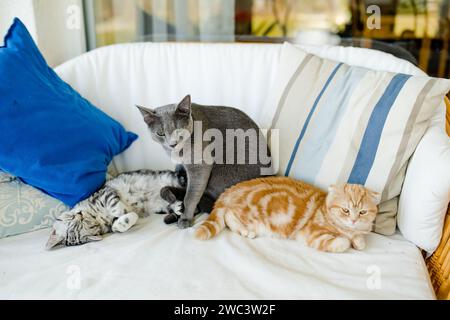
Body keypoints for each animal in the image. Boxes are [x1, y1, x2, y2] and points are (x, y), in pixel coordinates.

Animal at [44, 170, 185, 250]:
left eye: (72, 220)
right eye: (89, 226)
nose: (79, 214)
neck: (96, 216)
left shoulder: (105, 193)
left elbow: (116, 206)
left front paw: (122, 213)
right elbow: (123, 222)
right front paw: (123, 222)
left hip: (171, 179)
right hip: (161, 206)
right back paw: (177, 207)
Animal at [136, 94, 270, 229]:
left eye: (179, 130)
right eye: (160, 133)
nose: (172, 144)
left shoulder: (199, 166)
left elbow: (190, 195)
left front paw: (185, 218)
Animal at [194, 178, 380, 252]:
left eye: (362, 212)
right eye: (345, 210)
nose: (354, 220)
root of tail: (228, 192)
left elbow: (359, 240)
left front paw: (358, 240)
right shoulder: (313, 234)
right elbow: (342, 242)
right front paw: (348, 240)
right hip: (250, 215)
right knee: (228, 215)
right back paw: (245, 230)